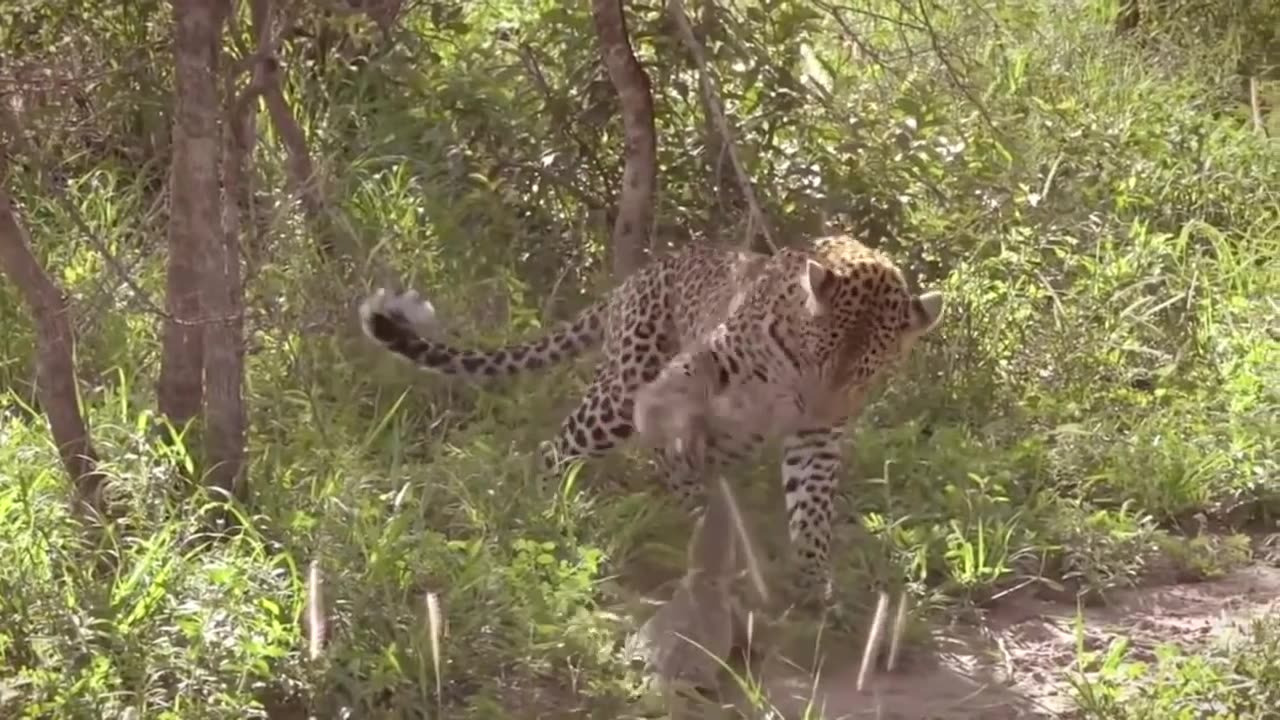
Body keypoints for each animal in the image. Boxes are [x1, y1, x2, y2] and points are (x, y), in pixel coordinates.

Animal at [358, 233, 942, 597]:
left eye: (867, 373)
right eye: (815, 356)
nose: (815, 407)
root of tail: (633, 280)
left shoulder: (816, 438)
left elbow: (811, 507)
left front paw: (813, 578)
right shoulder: (694, 377)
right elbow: (682, 454)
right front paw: (716, 536)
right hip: (619, 392)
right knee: (558, 448)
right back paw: (543, 509)